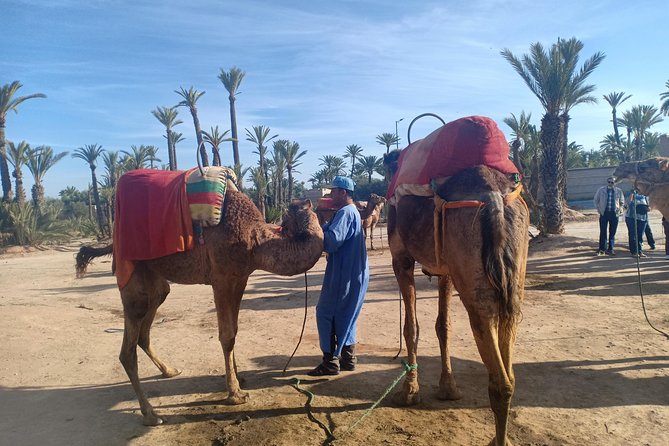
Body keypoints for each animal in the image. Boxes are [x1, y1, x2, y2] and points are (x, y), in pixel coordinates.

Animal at [86, 189, 323, 426]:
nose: (307, 201)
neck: (254, 239)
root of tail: (114, 241)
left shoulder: (241, 277)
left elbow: (235, 330)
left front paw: (238, 377)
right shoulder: (221, 278)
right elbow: (227, 336)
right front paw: (235, 394)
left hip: (154, 280)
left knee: (149, 320)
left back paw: (169, 370)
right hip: (132, 275)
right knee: (128, 348)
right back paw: (151, 414)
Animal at [384, 152, 529, 446]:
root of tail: (494, 197)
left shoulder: (401, 258)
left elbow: (411, 327)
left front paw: (408, 392)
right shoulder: (447, 270)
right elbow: (444, 325)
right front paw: (448, 388)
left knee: (496, 366)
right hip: (513, 276)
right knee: (509, 352)